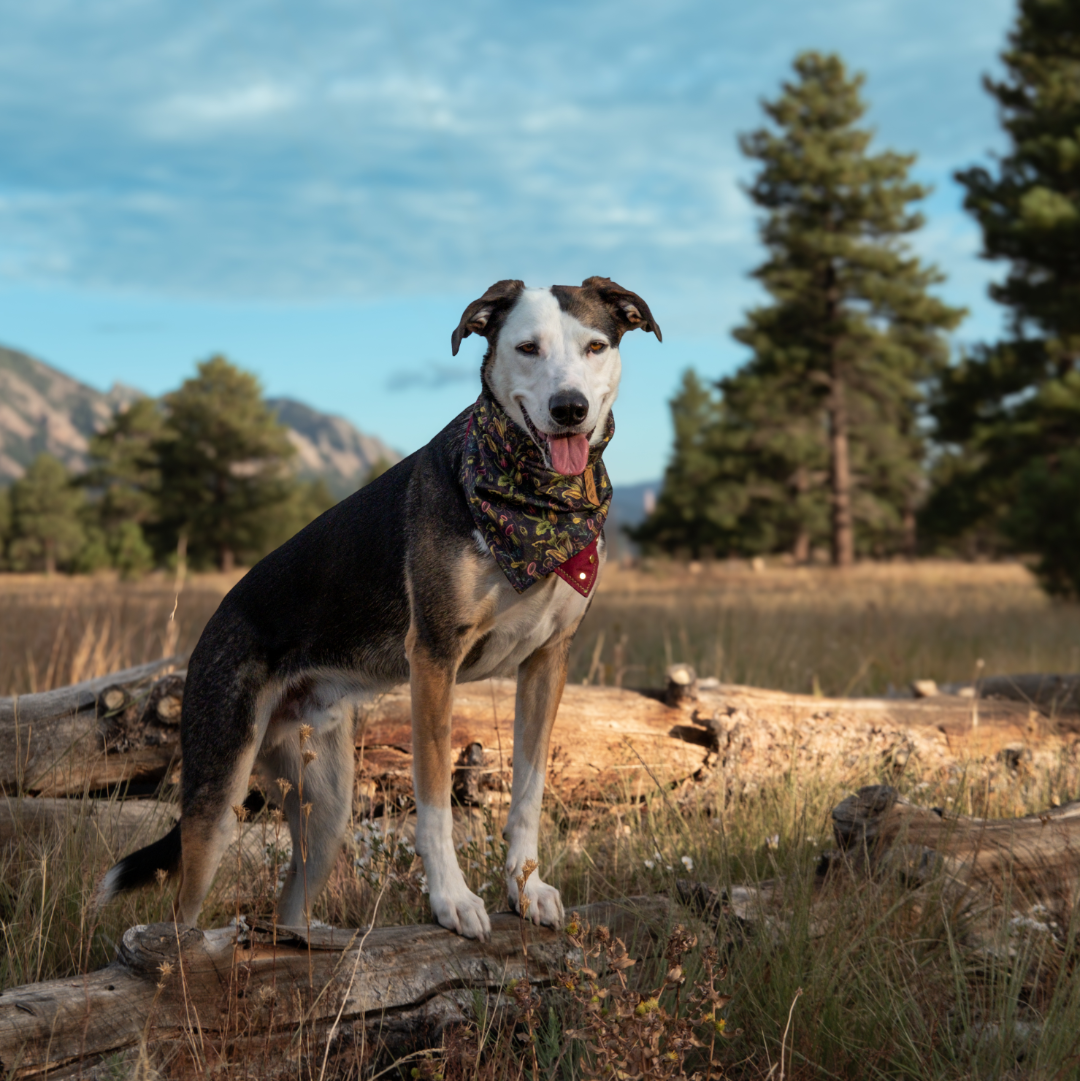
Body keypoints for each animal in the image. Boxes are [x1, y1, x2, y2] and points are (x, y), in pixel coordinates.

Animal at [99, 276, 657, 938]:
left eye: (596, 346)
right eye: (527, 348)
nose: (569, 408)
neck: (534, 503)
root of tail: (212, 626)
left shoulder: (547, 660)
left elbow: (528, 793)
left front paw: (526, 890)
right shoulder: (435, 660)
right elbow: (435, 802)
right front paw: (451, 900)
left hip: (326, 809)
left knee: (291, 901)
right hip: (217, 796)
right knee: (181, 917)